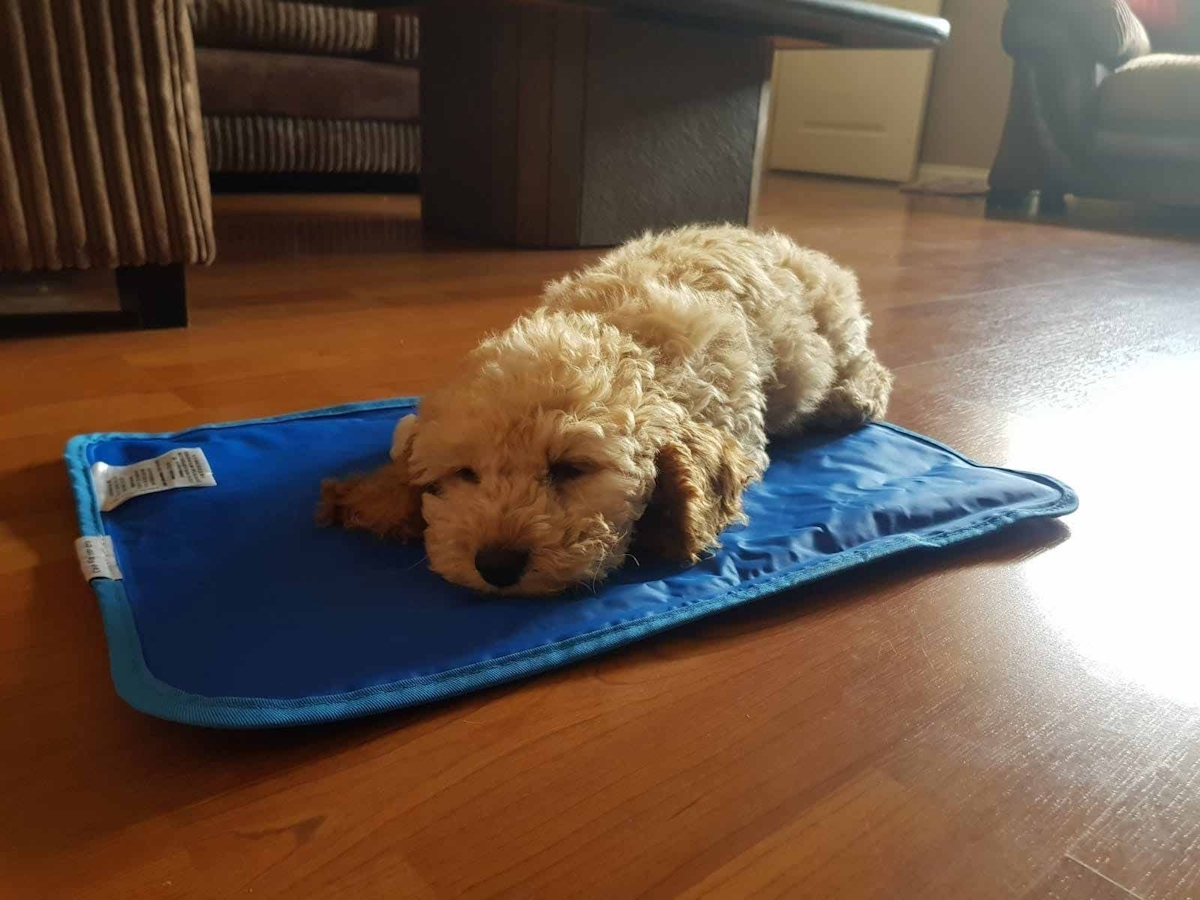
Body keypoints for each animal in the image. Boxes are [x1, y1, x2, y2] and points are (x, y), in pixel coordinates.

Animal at [319, 224, 892, 600]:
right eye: (464, 474)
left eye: (570, 468)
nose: (496, 564)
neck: (618, 334)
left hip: (833, 322)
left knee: (866, 366)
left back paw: (850, 399)